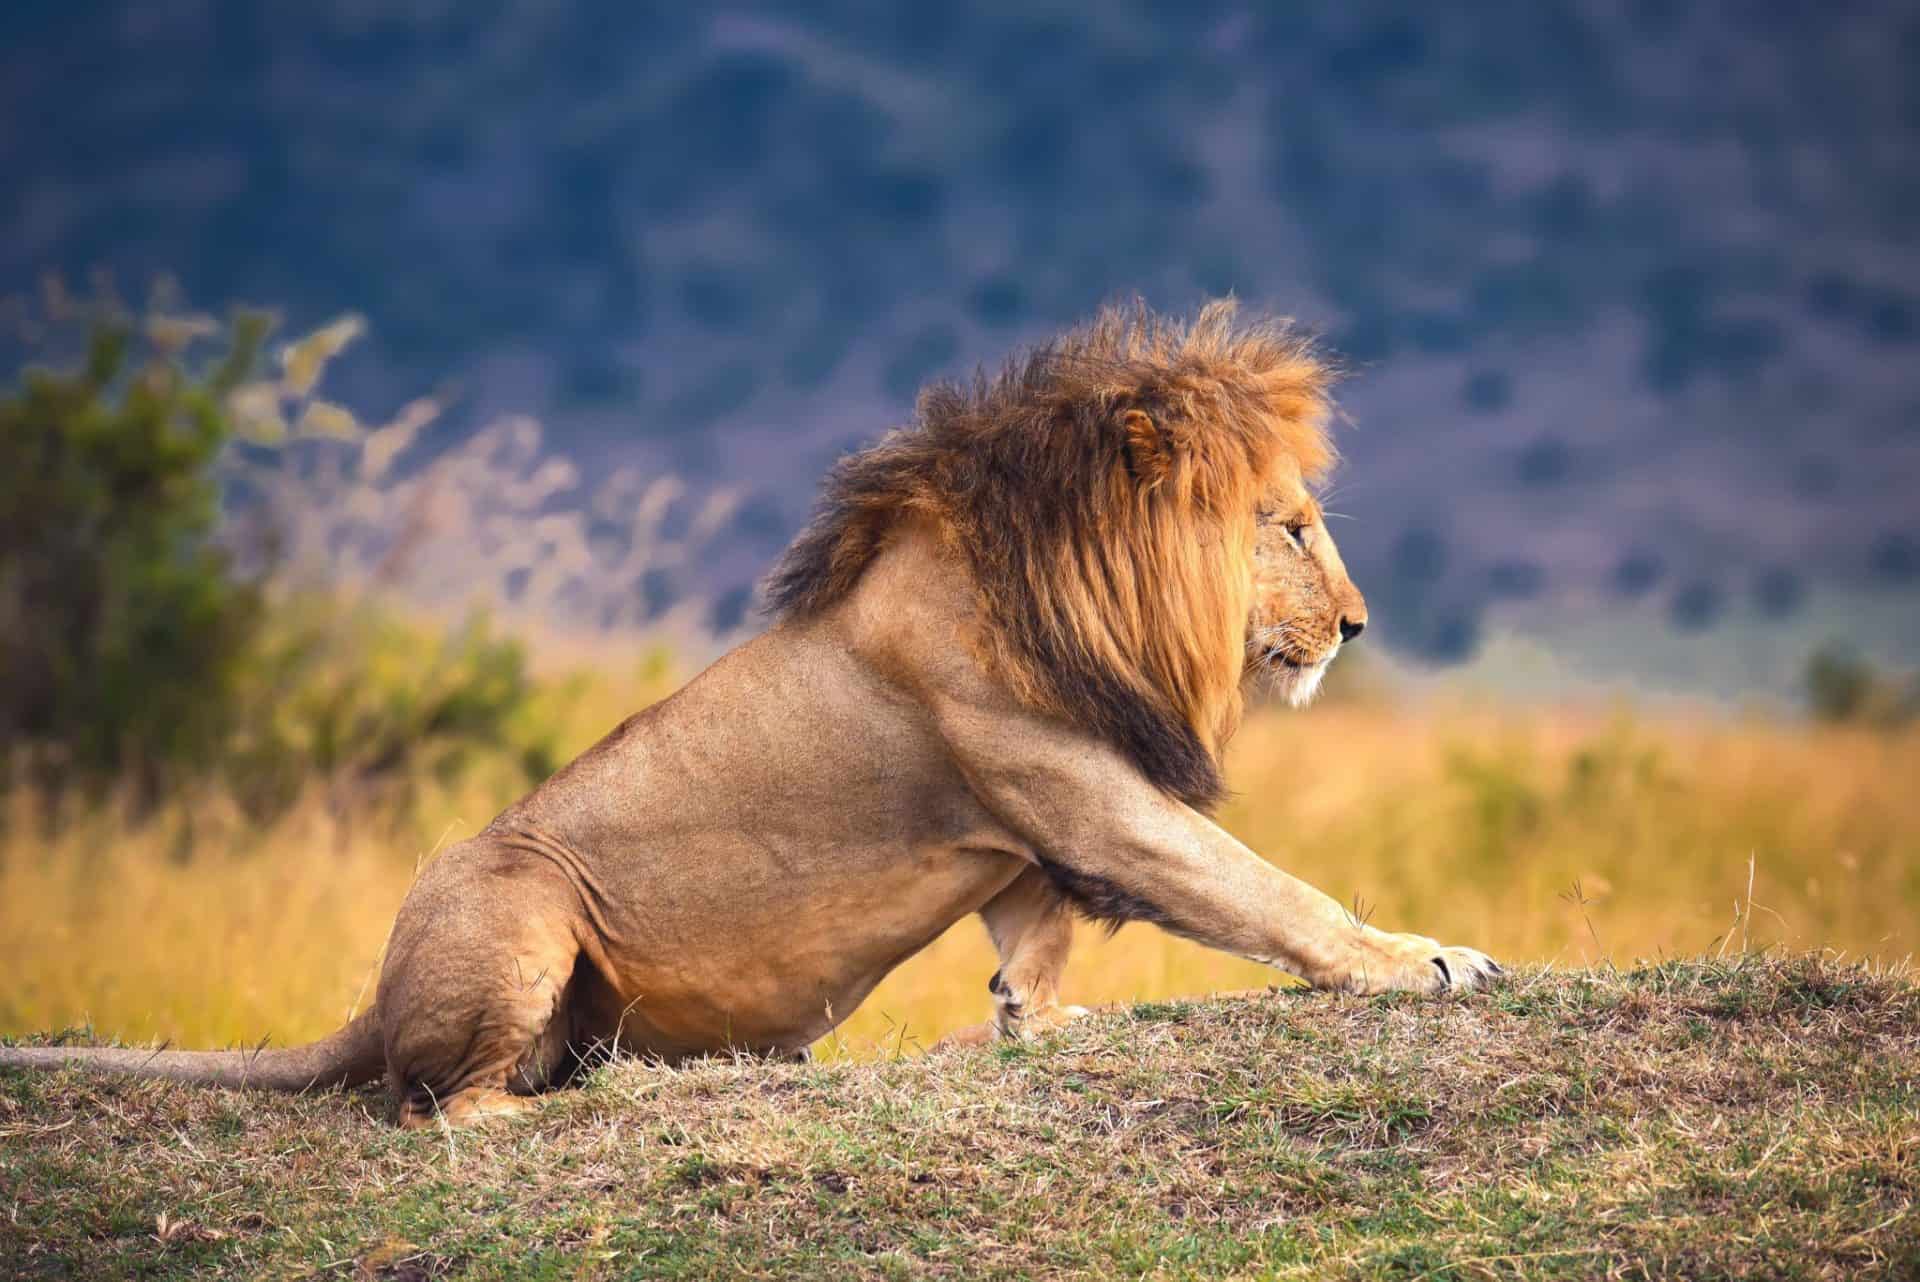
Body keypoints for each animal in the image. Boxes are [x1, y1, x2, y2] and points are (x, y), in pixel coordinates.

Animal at [0, 301, 1498, 1126]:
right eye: (1290, 526)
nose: (1359, 626)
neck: (1072, 583)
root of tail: (373, 999)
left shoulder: (1041, 826)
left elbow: (1040, 947)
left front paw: (1033, 1022)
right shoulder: (1080, 789)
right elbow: (1268, 891)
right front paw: (1429, 957)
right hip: (521, 901)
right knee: (444, 1110)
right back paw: (603, 1099)